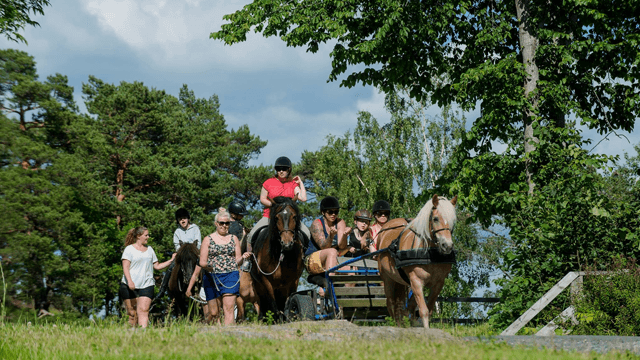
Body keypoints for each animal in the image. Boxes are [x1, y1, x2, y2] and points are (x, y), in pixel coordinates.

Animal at [378, 194, 458, 330]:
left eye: (453, 220)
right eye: (435, 219)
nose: (447, 246)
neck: (429, 253)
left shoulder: (438, 283)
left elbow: (428, 310)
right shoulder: (416, 281)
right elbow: (423, 311)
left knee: (405, 307)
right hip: (388, 278)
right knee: (392, 305)